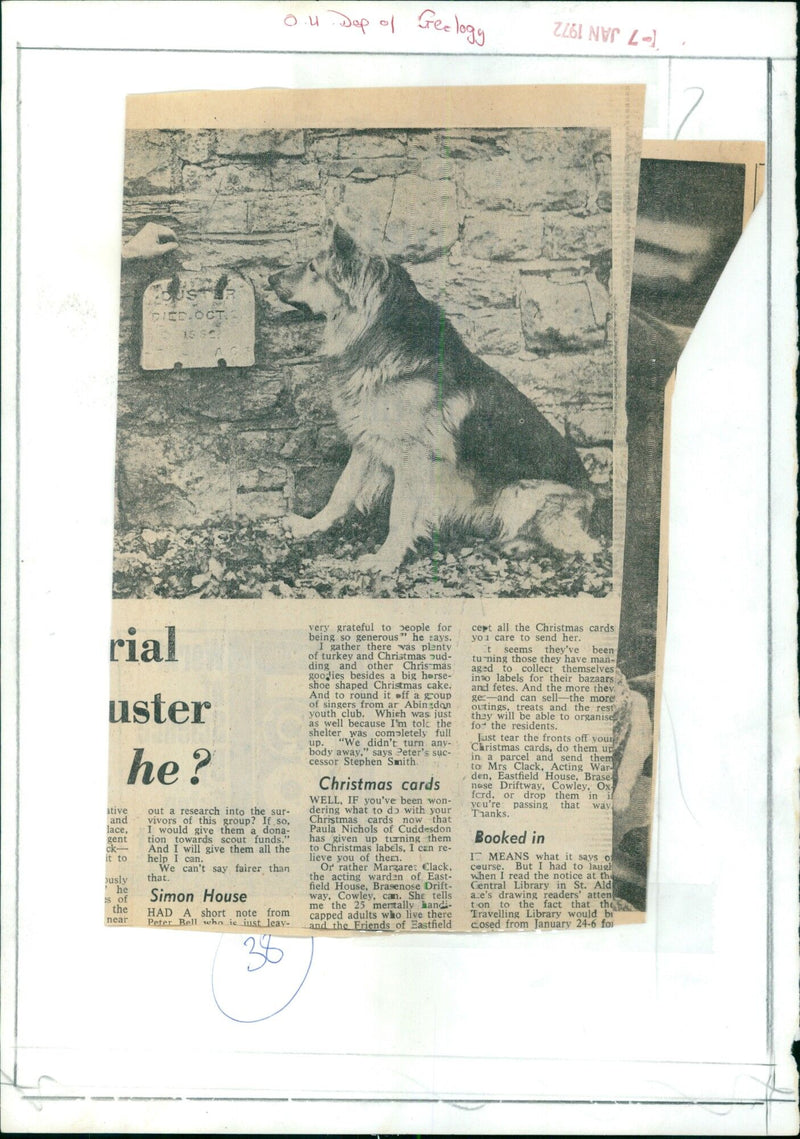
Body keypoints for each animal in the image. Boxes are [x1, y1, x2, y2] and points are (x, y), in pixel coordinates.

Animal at [268, 225, 601, 574]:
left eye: (312, 268)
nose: (268, 278)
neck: (376, 332)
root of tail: (590, 499)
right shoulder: (366, 442)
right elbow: (341, 491)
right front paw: (311, 525)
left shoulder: (413, 457)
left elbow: (400, 512)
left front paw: (387, 557)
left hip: (520, 492)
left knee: (578, 544)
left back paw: (517, 545)